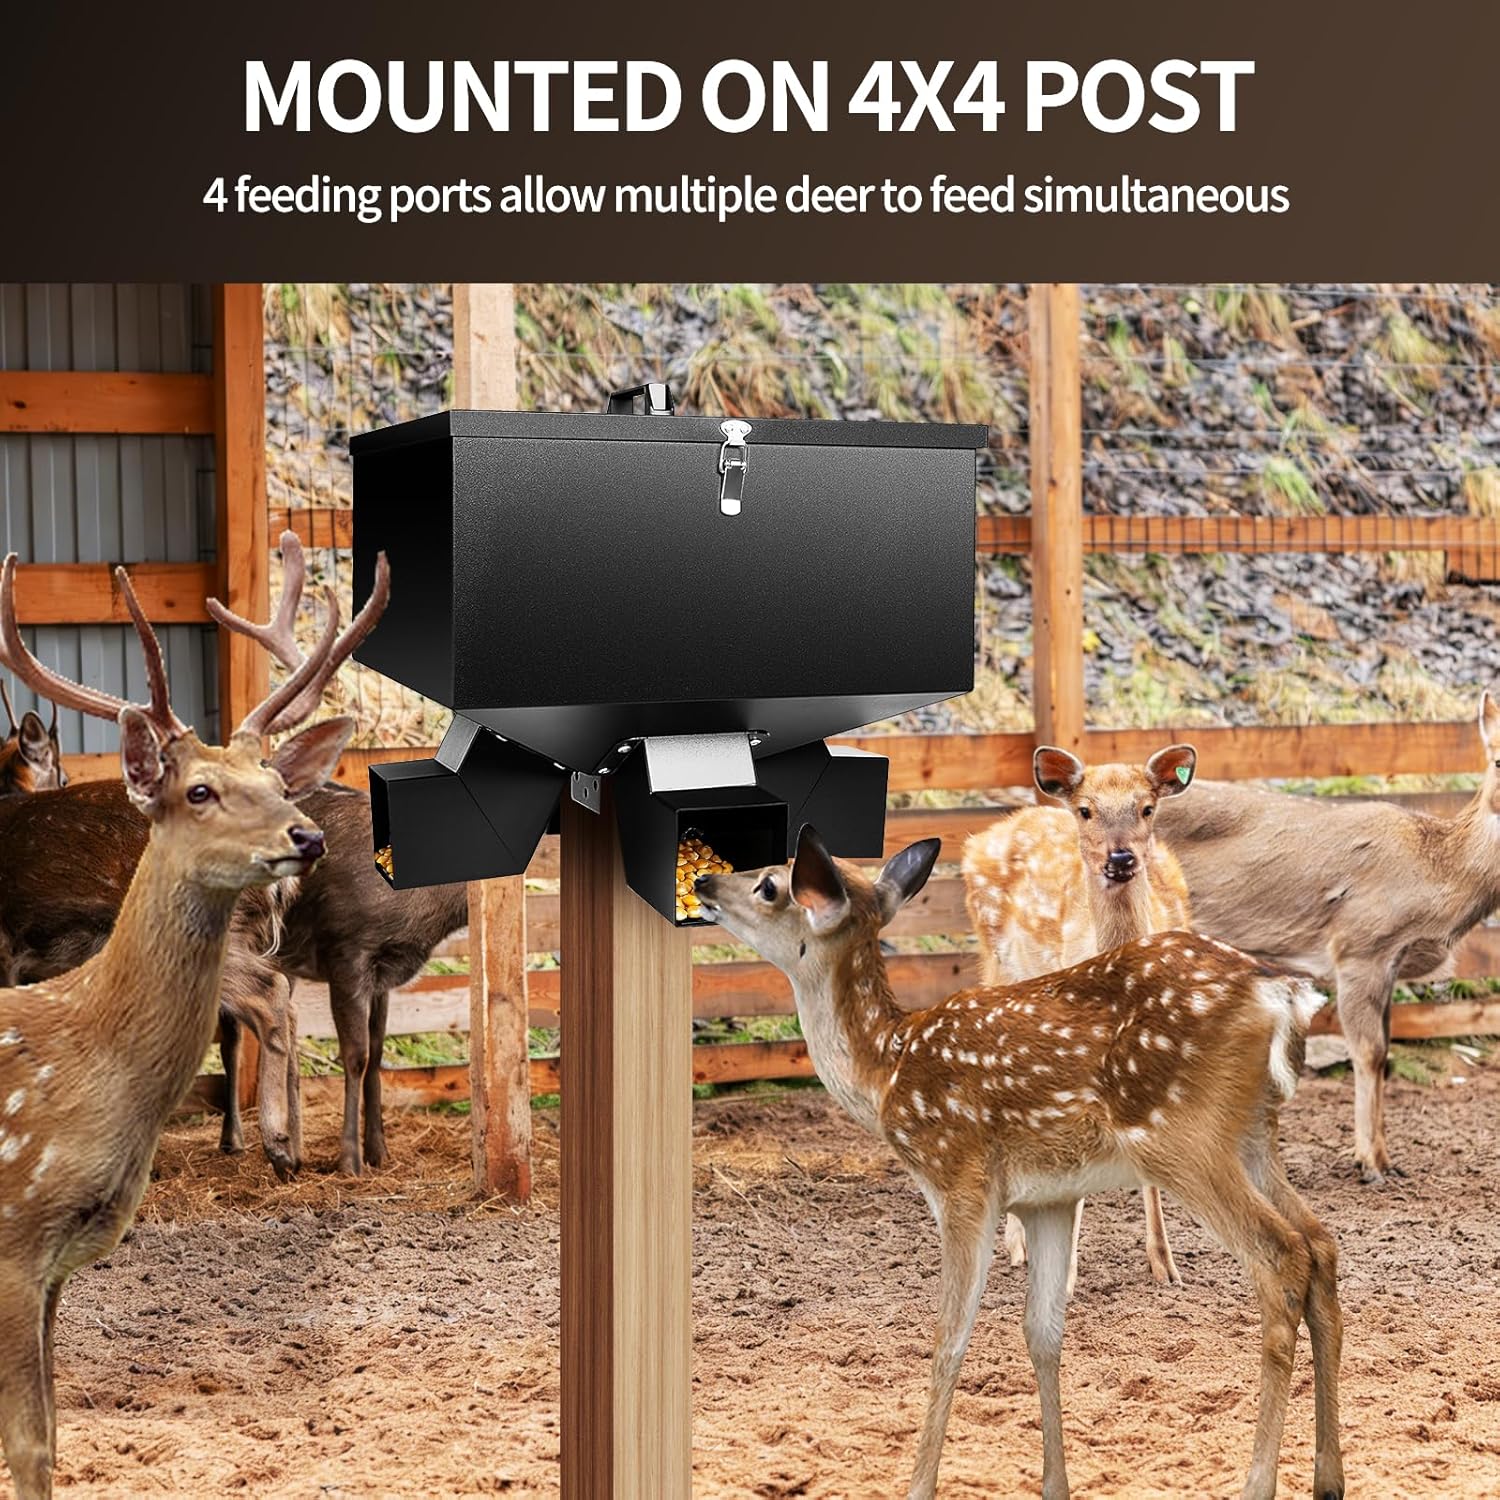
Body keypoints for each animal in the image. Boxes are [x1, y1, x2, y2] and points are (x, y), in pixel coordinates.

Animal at [0, 545, 386, 1500]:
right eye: (200, 789)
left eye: (279, 781)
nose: (306, 837)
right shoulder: (15, 1241)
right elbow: (29, 1445)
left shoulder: (55, 1263)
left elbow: (50, 1439)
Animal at [695, 828, 1344, 1500]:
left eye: (770, 885)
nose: (704, 882)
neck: (886, 1072)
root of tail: (1284, 995)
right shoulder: (1048, 1198)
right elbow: (1044, 1333)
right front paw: (1056, 1484)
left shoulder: (960, 1177)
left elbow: (950, 1338)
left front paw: (920, 1486)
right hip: (1253, 1132)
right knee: (1321, 1243)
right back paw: (1329, 1477)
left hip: (1181, 1135)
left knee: (1281, 1255)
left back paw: (1259, 1483)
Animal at [963, 744, 1197, 1292]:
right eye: (1086, 810)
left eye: (1147, 808)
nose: (1121, 857)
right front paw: (1064, 1278)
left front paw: (1166, 1264)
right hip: (1000, 971)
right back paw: (1018, 1246)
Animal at [1157, 688, 1500, 1184]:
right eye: (1497, 758)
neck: (1437, 874)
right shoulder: (1360, 946)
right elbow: (1370, 1052)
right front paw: (1370, 1163)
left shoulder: (1389, 965)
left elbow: (1385, 1052)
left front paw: (1384, 1158)